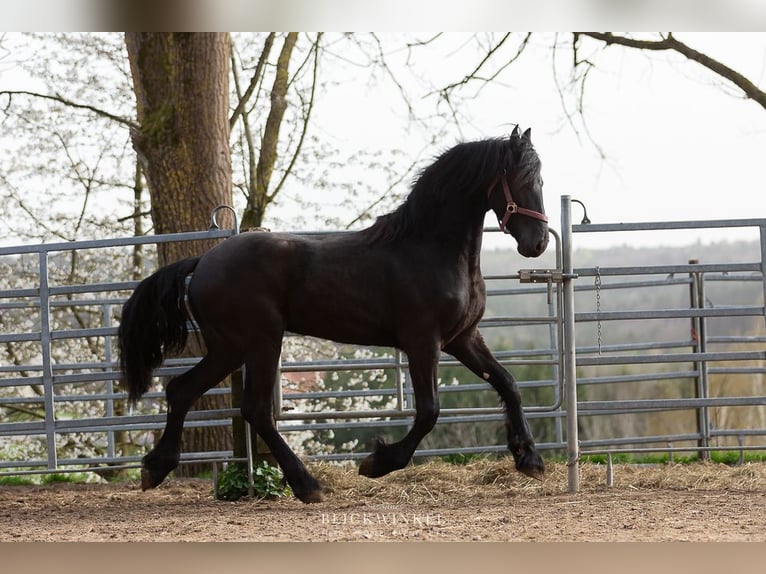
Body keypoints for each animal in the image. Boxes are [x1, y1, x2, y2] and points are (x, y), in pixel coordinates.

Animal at [118, 127, 552, 504]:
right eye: (522, 177)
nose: (538, 244)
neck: (430, 248)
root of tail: (204, 262)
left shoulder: (463, 339)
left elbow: (508, 383)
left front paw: (529, 459)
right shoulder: (422, 342)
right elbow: (429, 411)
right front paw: (377, 463)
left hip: (229, 348)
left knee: (182, 390)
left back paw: (155, 468)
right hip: (259, 342)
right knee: (254, 409)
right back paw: (307, 485)